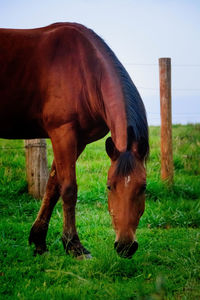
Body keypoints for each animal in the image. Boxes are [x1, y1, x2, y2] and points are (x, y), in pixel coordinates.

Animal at [0, 22, 148, 258]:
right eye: (109, 186)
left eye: (143, 187)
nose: (125, 246)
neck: (84, 69)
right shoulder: (63, 133)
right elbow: (69, 188)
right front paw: (73, 245)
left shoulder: (79, 140)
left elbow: (53, 187)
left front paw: (39, 241)